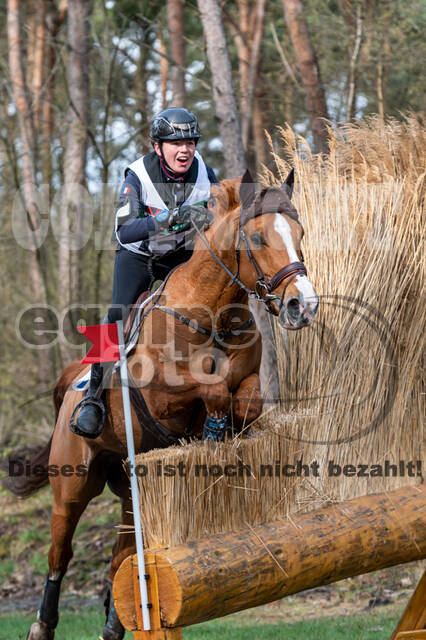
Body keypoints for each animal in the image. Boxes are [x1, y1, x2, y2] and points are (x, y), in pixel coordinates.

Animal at [8, 171, 318, 640]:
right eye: (258, 238)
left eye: (299, 234)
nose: (304, 306)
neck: (211, 317)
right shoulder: (161, 395)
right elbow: (211, 386)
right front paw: (213, 429)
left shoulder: (249, 381)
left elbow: (246, 402)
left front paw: (220, 431)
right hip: (72, 484)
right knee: (60, 554)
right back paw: (42, 625)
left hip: (129, 487)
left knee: (123, 556)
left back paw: (118, 623)